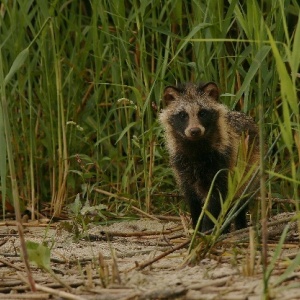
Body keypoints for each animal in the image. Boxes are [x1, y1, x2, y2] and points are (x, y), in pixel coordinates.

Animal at [159, 81, 260, 232]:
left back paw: (238, 225)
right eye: (183, 115)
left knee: (240, 197)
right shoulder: (182, 168)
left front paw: (207, 229)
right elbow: (193, 200)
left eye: (202, 113)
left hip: (251, 164)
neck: (195, 147)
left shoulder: (223, 161)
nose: (194, 131)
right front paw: (197, 228)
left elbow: (215, 201)